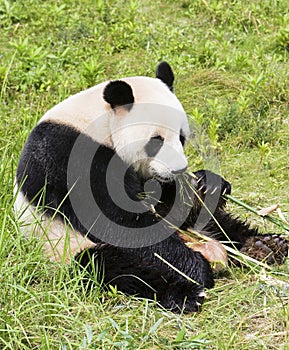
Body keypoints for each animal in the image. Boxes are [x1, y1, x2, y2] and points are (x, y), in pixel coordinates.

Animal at [14, 61, 288, 314]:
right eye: (155, 141)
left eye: (181, 137)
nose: (179, 169)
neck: (97, 123)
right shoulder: (70, 157)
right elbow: (119, 221)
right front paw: (191, 269)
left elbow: (167, 203)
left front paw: (207, 185)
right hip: (63, 245)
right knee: (116, 267)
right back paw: (187, 289)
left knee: (221, 225)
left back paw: (265, 246)